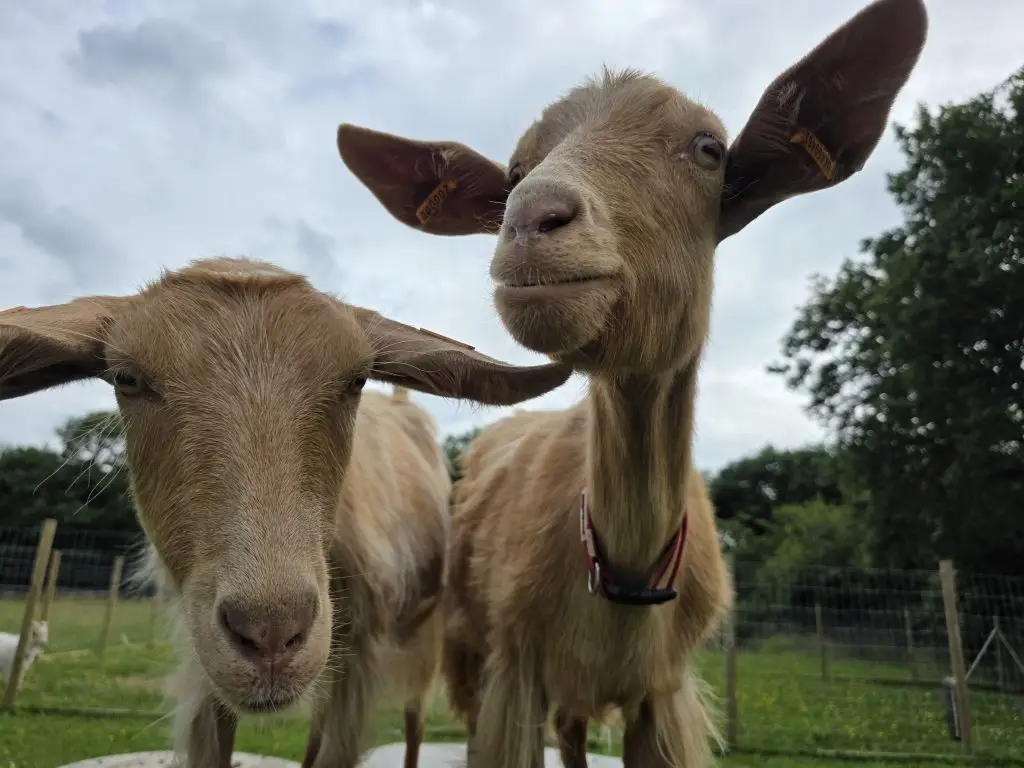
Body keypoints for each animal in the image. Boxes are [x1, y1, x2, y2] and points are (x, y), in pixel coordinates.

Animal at [0, 257, 573, 768]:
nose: (270, 633)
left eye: (356, 380)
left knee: (413, 720)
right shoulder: (208, 655)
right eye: (127, 379)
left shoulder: (361, 651)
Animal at [334, 1, 928, 766]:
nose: (531, 219)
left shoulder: (664, 693)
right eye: (515, 170)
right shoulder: (513, 671)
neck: (625, 577)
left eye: (709, 149)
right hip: (464, 646)